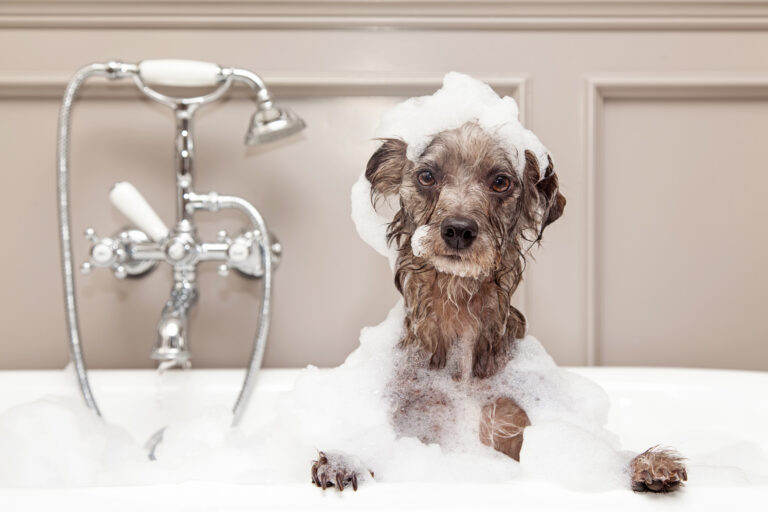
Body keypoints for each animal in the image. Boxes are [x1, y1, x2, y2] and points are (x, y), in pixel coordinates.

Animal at [308, 121, 688, 492]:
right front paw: (347, 461)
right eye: (427, 176)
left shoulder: (512, 423)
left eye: (501, 182)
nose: (458, 230)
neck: (458, 313)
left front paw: (642, 464)